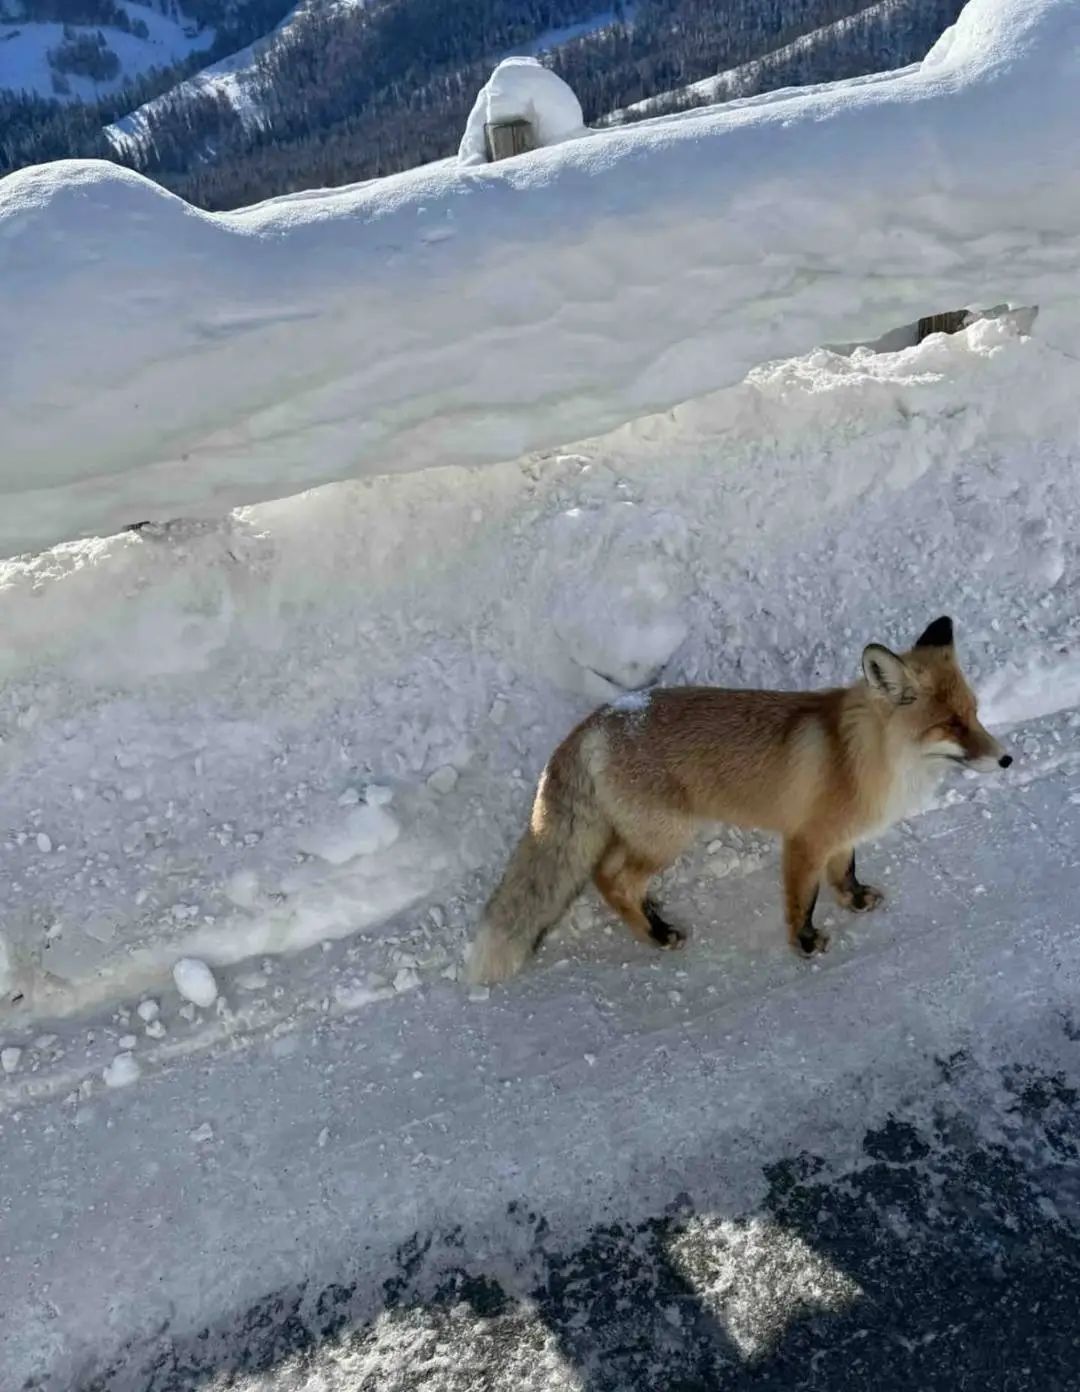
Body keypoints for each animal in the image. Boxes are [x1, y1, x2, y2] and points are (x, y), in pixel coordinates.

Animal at [467, 615, 1007, 985]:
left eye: (975, 714)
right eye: (950, 726)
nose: (1007, 760)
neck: (864, 756)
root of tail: (596, 721)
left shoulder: (839, 837)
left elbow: (846, 872)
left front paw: (855, 900)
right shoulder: (804, 842)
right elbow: (803, 902)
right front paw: (805, 944)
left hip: (649, 837)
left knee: (612, 874)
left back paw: (653, 915)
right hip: (668, 837)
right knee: (610, 878)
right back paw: (658, 934)